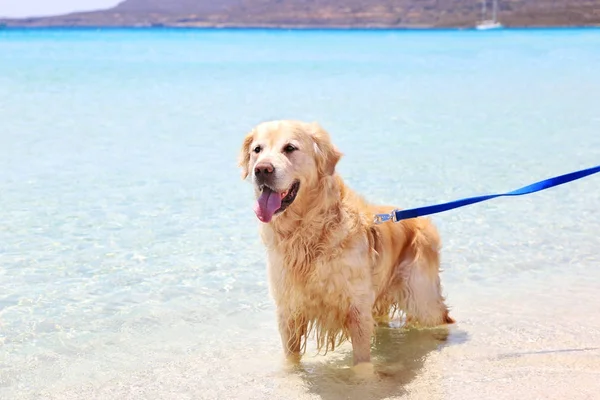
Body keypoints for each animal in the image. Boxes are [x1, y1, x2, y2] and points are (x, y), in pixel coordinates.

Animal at [239, 119, 454, 372]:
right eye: (257, 150)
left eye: (290, 148)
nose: (262, 169)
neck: (306, 232)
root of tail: (422, 218)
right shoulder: (288, 311)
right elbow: (291, 357)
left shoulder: (357, 310)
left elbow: (361, 364)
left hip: (422, 297)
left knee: (442, 317)